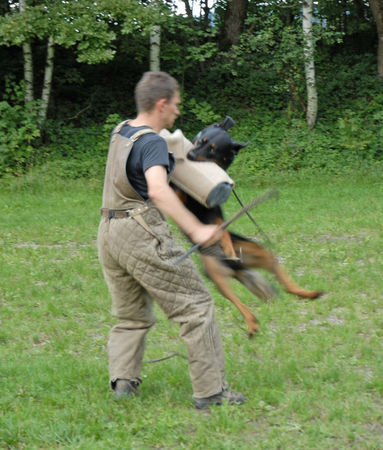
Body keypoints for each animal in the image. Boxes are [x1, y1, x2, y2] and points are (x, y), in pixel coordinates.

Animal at [172, 118, 322, 336]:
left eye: (213, 149)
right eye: (200, 140)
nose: (190, 155)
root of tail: (236, 269)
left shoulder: (214, 211)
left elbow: (221, 228)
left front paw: (227, 246)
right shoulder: (181, 198)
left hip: (259, 253)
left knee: (285, 285)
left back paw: (307, 293)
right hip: (216, 274)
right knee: (240, 304)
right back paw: (252, 324)